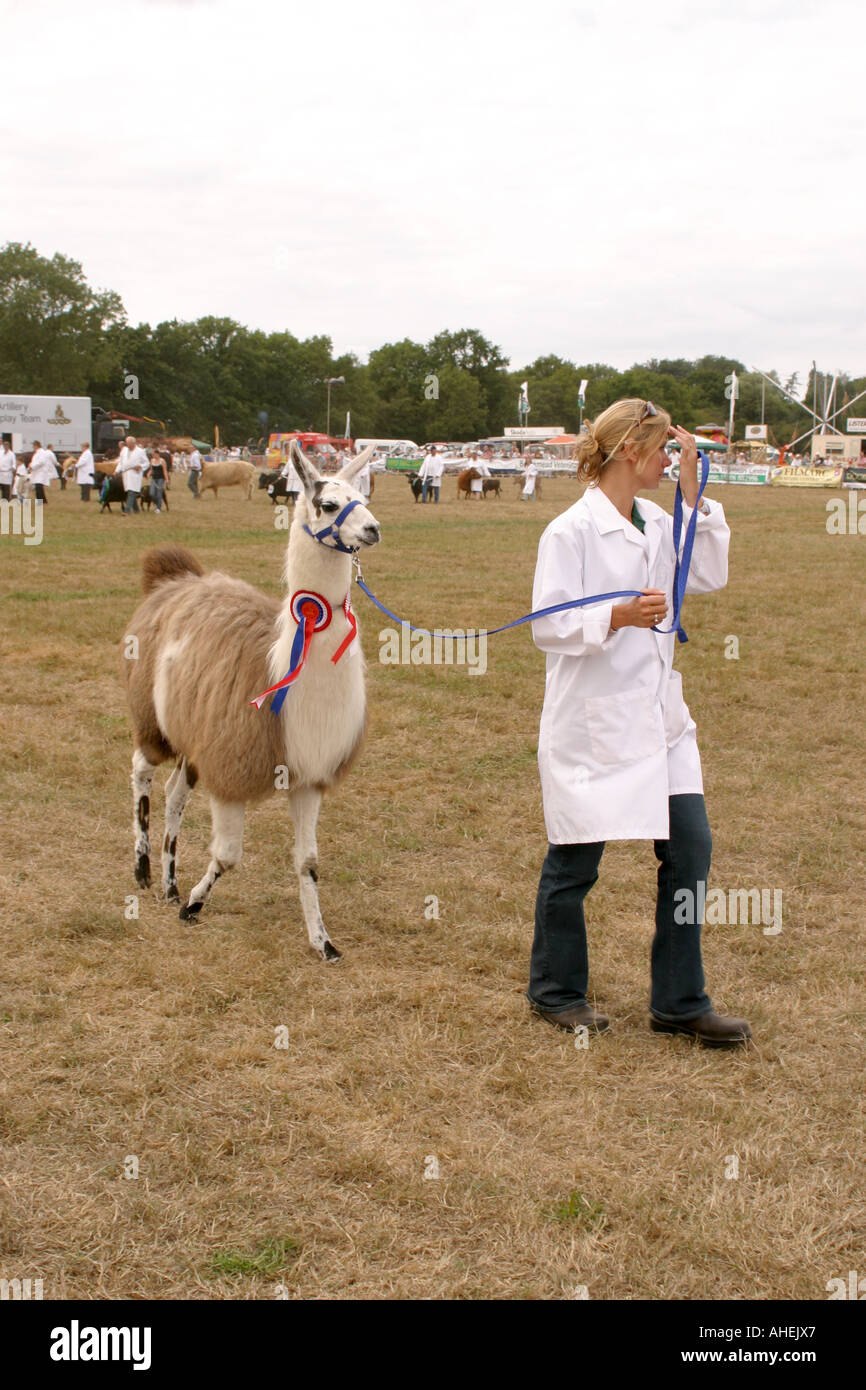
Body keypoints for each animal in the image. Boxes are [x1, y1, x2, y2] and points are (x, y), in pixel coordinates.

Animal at [123, 442, 380, 956]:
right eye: (328, 504)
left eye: (361, 496)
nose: (373, 528)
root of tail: (174, 580)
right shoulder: (231, 767)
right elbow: (229, 856)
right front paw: (194, 906)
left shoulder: (308, 775)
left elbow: (308, 861)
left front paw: (323, 942)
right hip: (153, 718)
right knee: (141, 771)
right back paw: (144, 871)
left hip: (194, 736)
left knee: (174, 794)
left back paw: (169, 882)